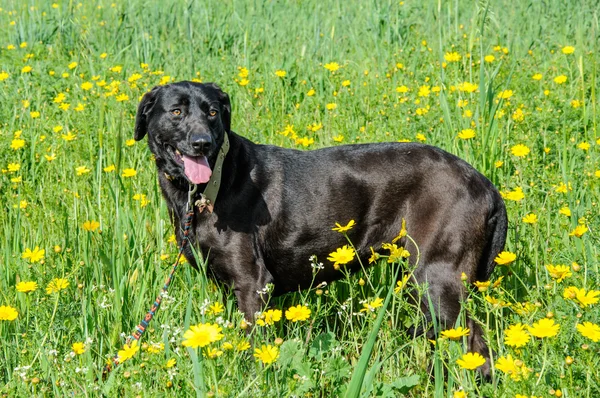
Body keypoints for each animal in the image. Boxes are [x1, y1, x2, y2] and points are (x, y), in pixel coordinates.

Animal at [135, 81, 506, 374]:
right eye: (177, 112)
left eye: (212, 113)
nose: (202, 143)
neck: (209, 185)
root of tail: (486, 185)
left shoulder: (253, 283)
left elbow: (255, 347)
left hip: (436, 278)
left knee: (474, 339)